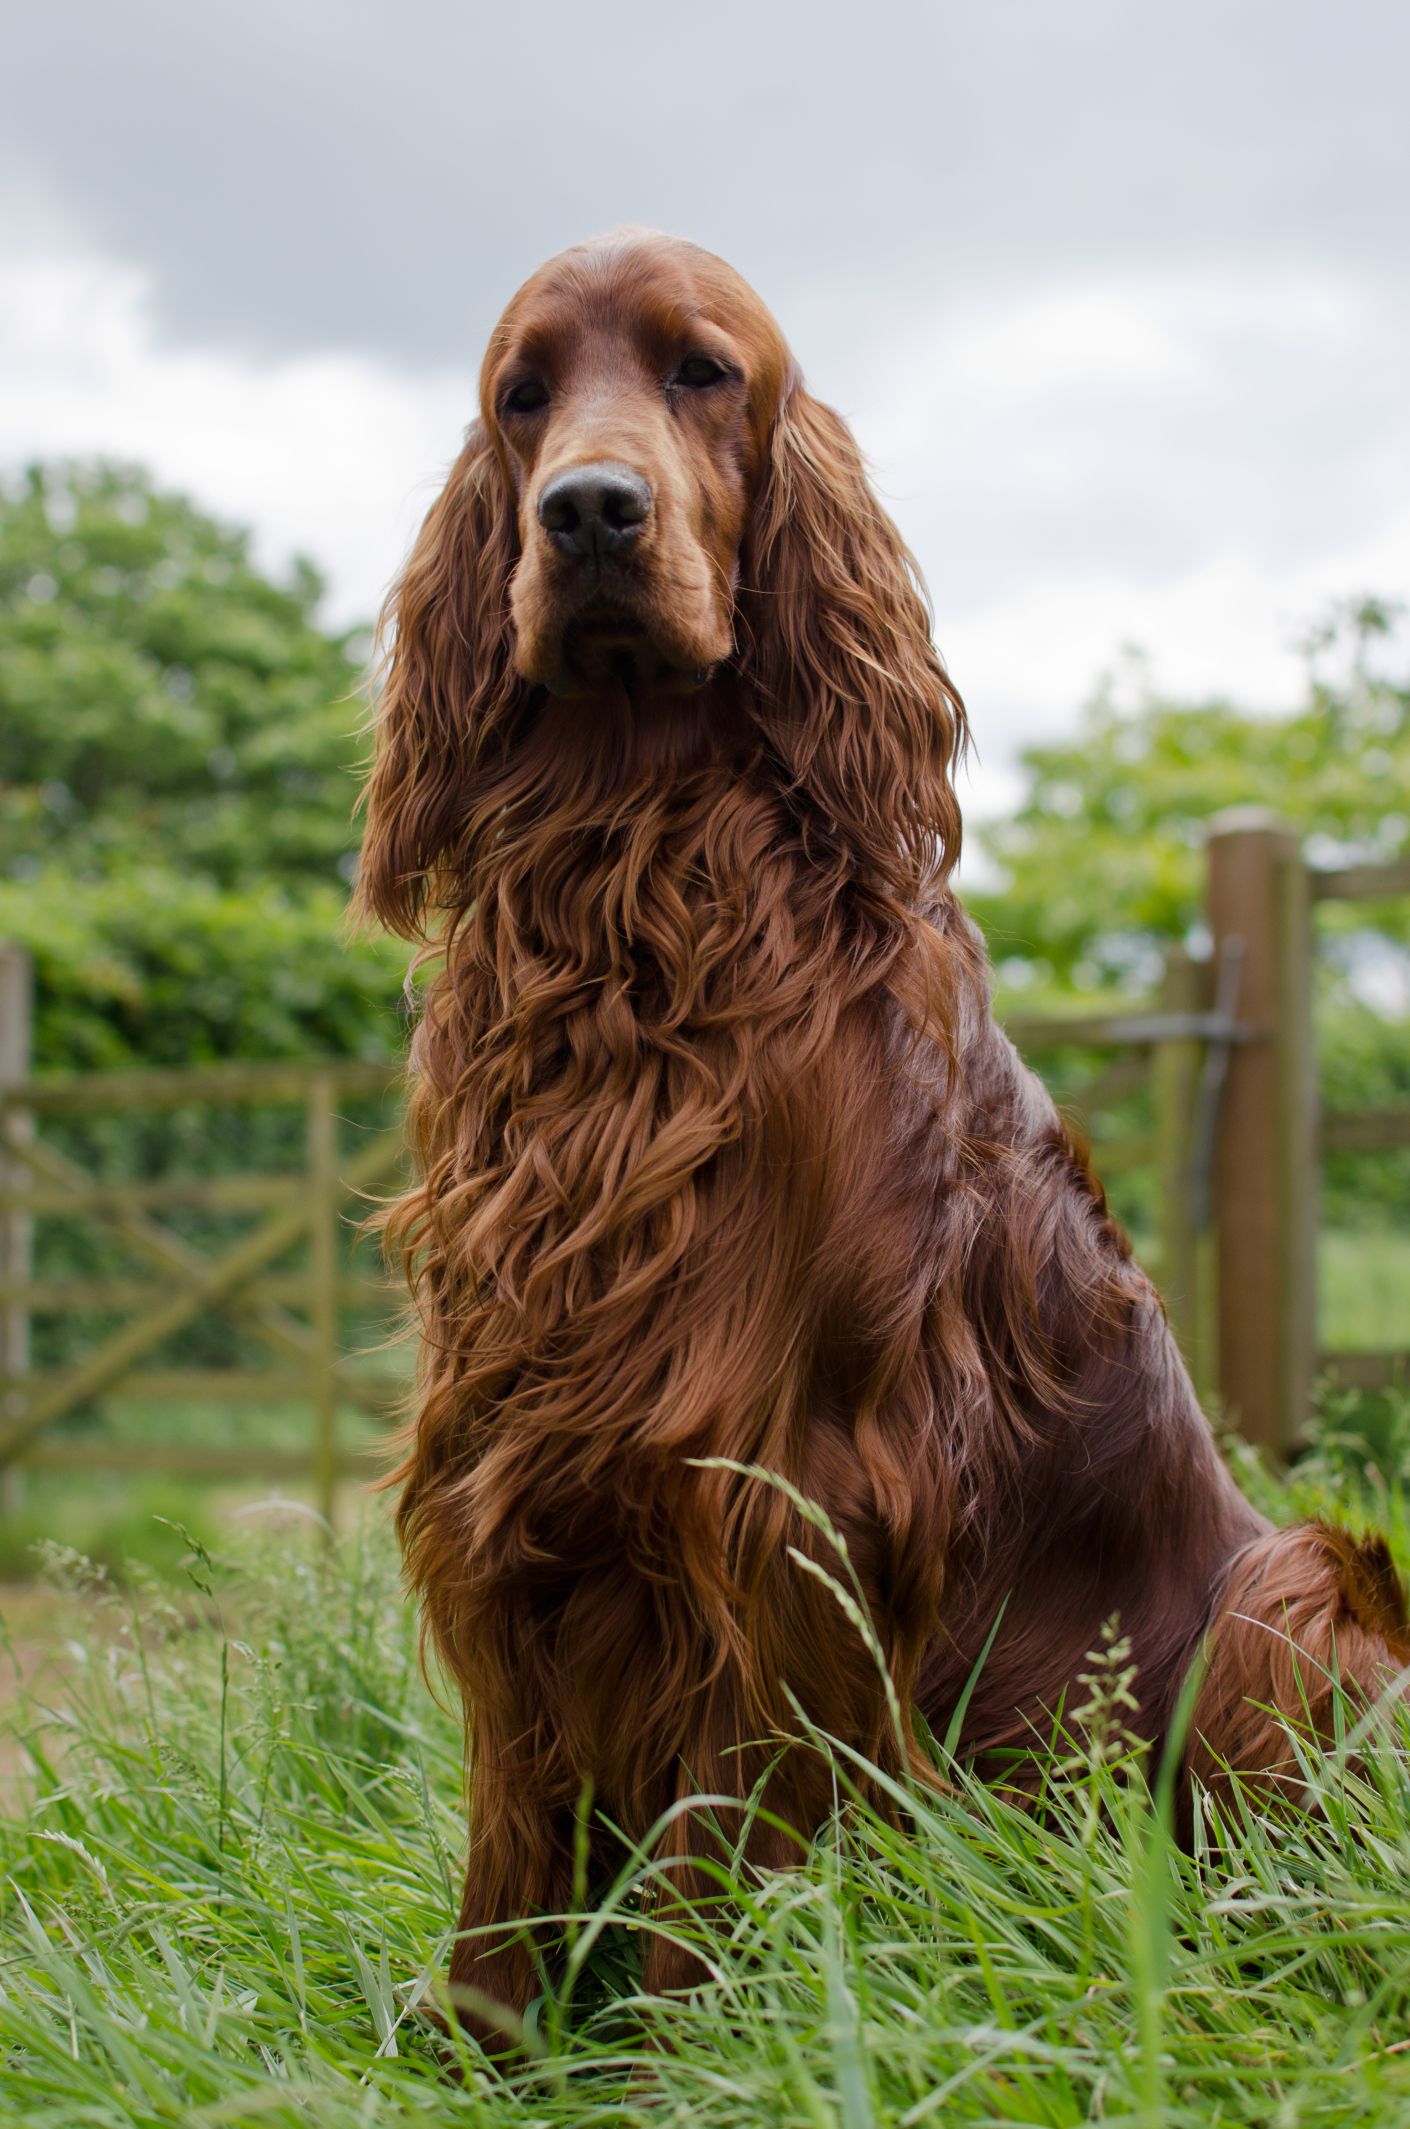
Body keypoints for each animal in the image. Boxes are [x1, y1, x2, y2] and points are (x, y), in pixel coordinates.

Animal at [359, 228, 1410, 2026]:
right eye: (521, 394)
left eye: (702, 370)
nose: (587, 512)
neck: (638, 878)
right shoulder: (505, 1442)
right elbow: (513, 1800)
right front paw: (484, 2036)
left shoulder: (774, 1483)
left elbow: (720, 1833)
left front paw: (687, 2043)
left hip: (1301, 1590)